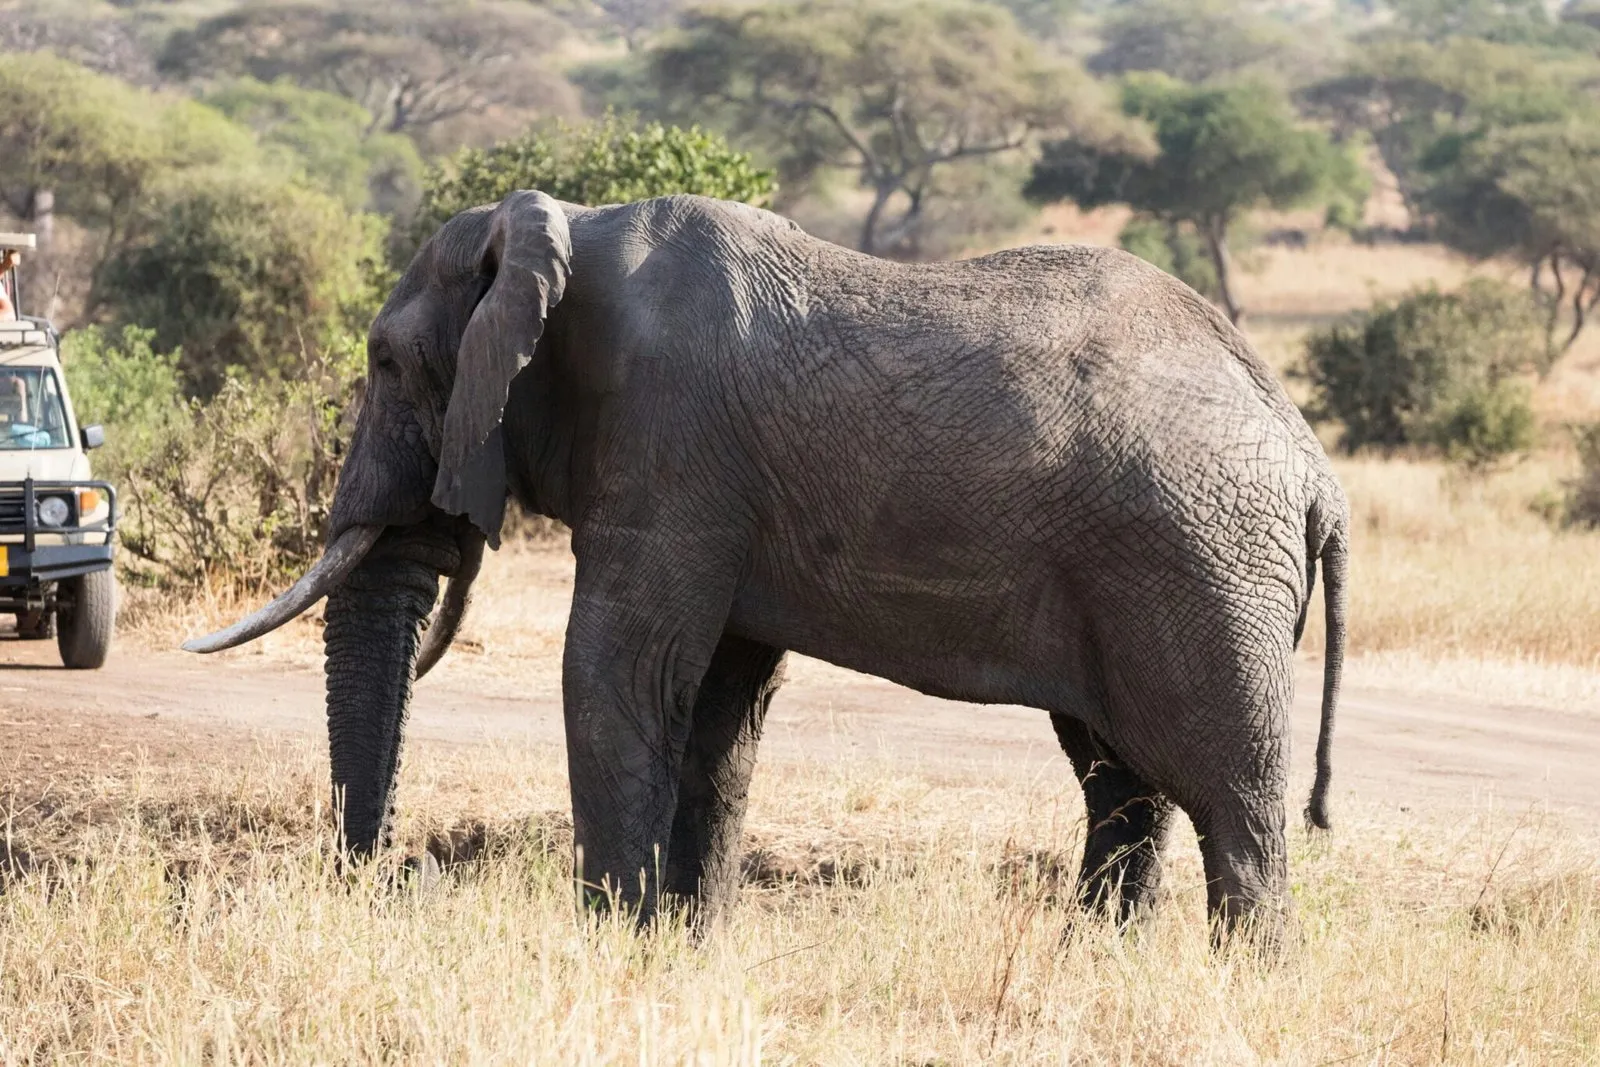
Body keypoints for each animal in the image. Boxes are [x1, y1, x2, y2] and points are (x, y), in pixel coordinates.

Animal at [193, 194, 1356, 940]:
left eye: (387, 363)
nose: (383, 882)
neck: (558, 232)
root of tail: (1314, 468)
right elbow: (718, 709)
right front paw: (680, 946)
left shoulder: (669, 447)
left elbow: (615, 674)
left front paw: (611, 946)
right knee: (1119, 780)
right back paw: (1098, 961)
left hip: (1200, 567)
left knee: (1227, 798)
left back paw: (1239, 978)